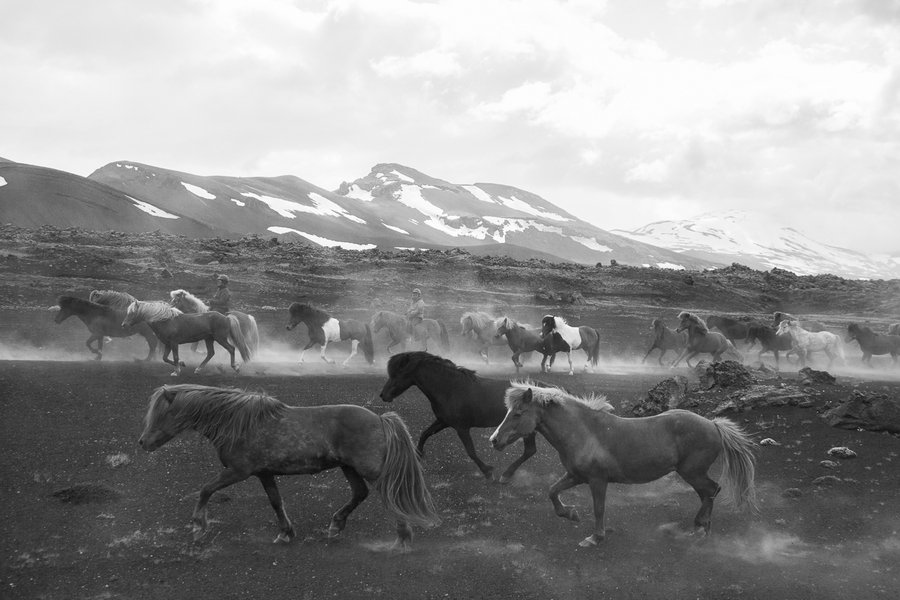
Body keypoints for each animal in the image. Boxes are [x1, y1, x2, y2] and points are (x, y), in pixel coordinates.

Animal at [123, 300, 251, 375]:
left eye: (132, 313)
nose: (124, 325)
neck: (165, 321)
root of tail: (226, 317)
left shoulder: (174, 343)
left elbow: (175, 357)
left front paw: (176, 371)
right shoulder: (167, 344)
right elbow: (165, 358)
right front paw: (182, 363)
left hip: (220, 338)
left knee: (231, 349)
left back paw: (236, 367)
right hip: (209, 339)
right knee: (210, 353)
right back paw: (198, 369)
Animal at [138, 384, 439, 548]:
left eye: (162, 415)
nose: (143, 442)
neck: (239, 424)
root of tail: (380, 419)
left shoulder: (237, 472)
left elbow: (205, 490)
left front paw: (199, 526)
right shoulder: (263, 473)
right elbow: (276, 502)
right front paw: (285, 533)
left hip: (370, 471)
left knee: (390, 497)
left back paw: (402, 538)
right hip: (348, 468)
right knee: (359, 494)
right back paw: (336, 525)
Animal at [378, 351, 538, 483]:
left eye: (396, 374)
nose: (383, 395)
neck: (451, 389)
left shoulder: (461, 428)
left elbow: (471, 451)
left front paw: (487, 472)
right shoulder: (443, 421)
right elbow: (425, 434)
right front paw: (418, 456)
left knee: (530, 451)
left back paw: (506, 474)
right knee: (530, 451)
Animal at [489, 382, 758, 547]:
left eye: (517, 414)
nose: (494, 440)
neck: (583, 431)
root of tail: (713, 425)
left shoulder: (597, 480)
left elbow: (599, 508)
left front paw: (595, 538)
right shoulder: (575, 476)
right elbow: (552, 491)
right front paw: (571, 514)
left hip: (692, 471)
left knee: (712, 490)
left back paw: (700, 526)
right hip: (693, 474)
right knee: (707, 493)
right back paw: (702, 528)